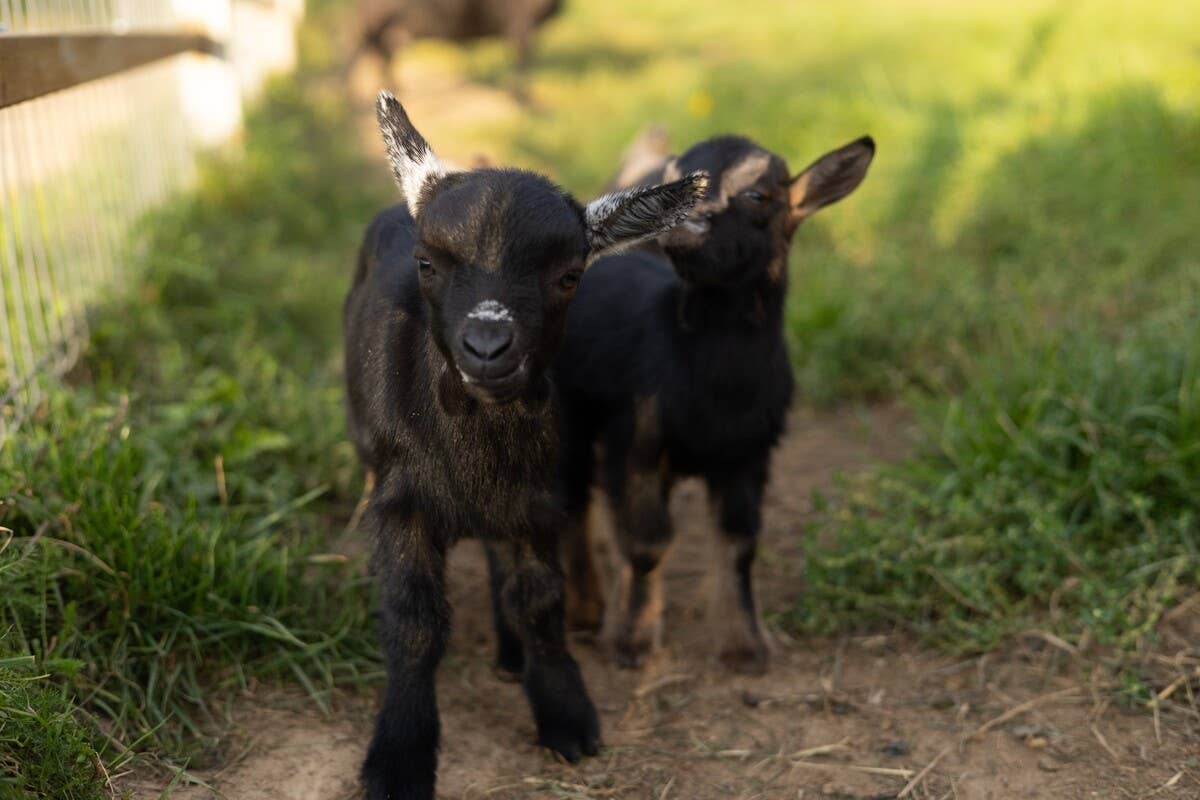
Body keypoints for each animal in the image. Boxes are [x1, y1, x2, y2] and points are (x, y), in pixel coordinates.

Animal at [344, 91, 707, 800]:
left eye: (568, 276)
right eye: (428, 265)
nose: (488, 347)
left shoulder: (539, 499)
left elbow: (539, 601)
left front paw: (567, 718)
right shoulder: (402, 504)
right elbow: (415, 622)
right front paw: (399, 760)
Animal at [551, 133, 874, 674]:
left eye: (759, 195)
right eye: (672, 186)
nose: (684, 226)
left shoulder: (749, 454)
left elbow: (738, 545)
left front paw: (745, 646)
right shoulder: (635, 442)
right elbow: (647, 543)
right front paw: (633, 642)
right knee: (573, 503)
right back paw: (585, 611)